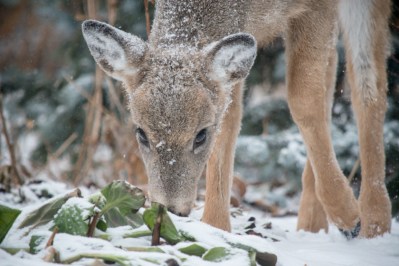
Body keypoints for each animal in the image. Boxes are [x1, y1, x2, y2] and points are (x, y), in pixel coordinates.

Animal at [82, 0, 394, 238]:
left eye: (200, 135)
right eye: (141, 133)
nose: (170, 208)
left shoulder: (317, 7)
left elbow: (303, 99)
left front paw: (349, 214)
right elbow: (231, 122)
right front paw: (216, 228)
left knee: (368, 87)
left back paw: (373, 223)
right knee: (338, 81)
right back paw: (313, 226)